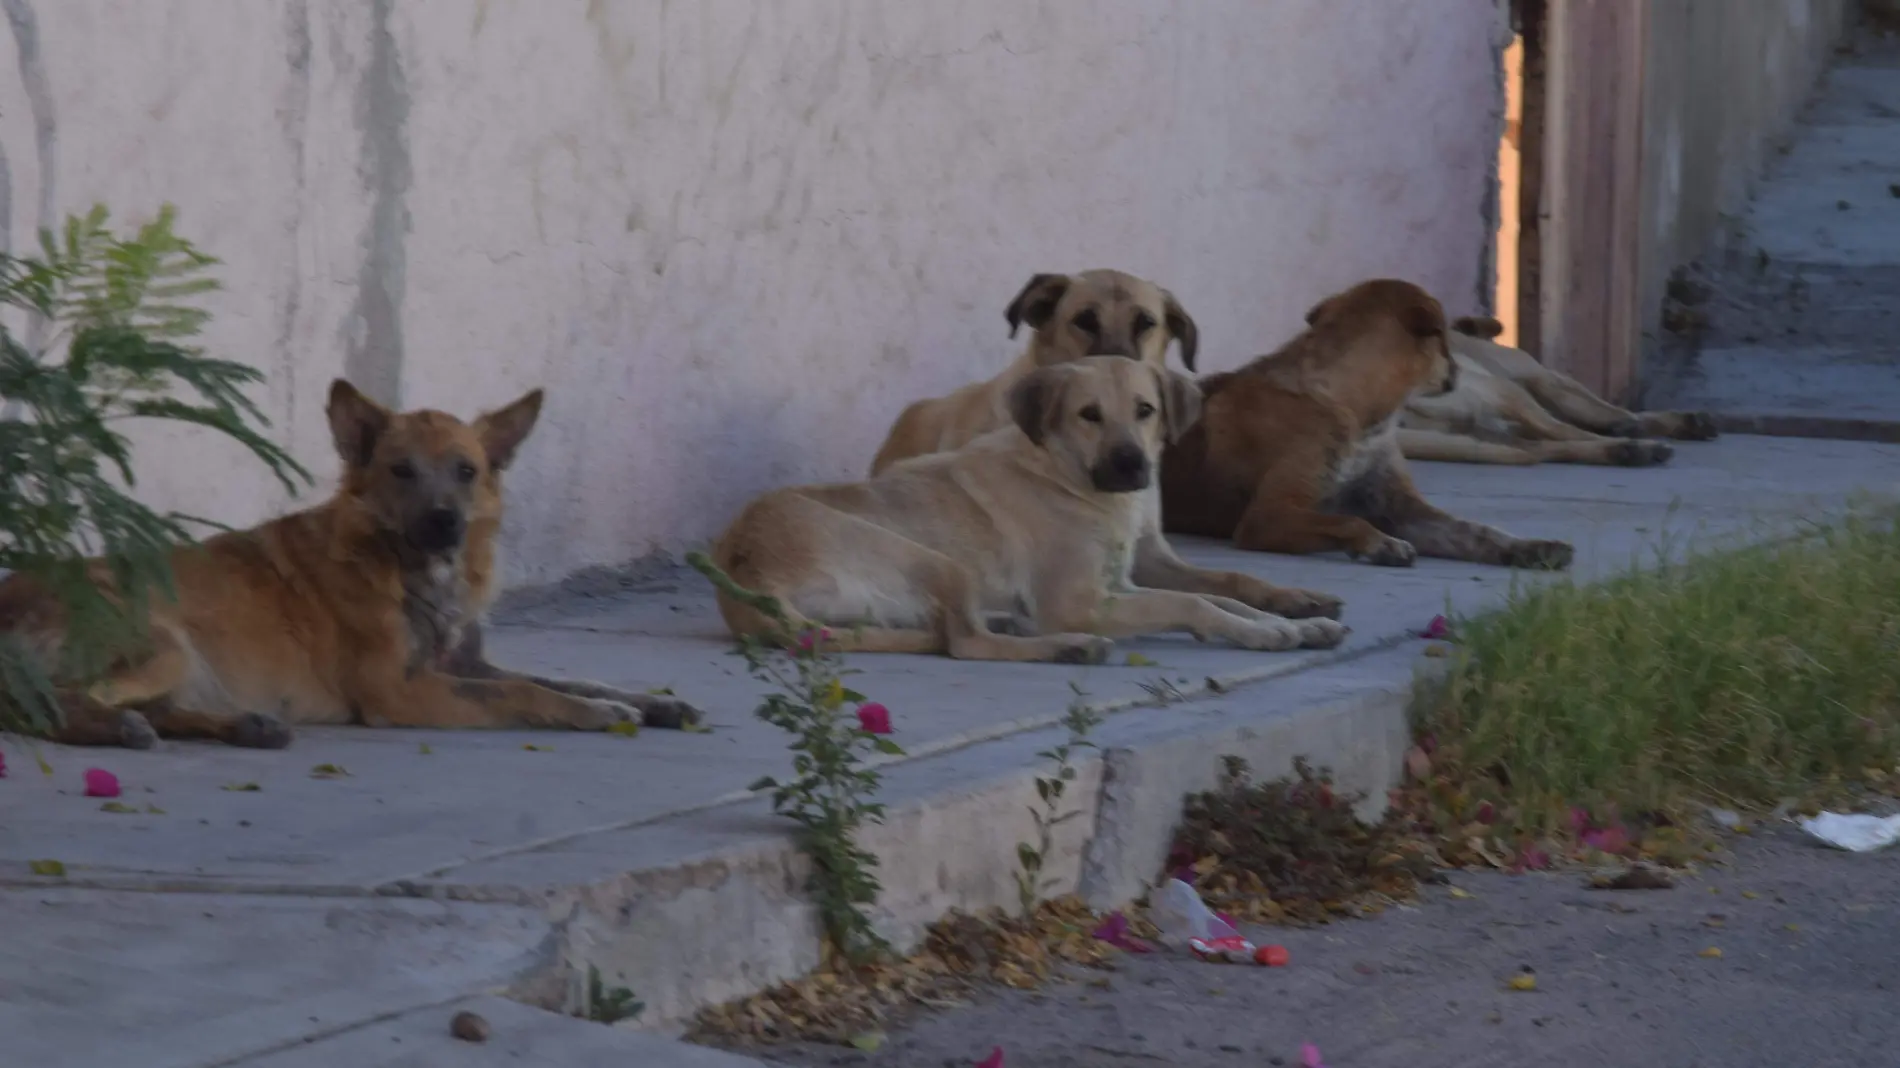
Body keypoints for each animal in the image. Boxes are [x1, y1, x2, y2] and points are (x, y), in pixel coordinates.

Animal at [1, 380, 699, 748]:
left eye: (467, 471)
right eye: (401, 471)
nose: (445, 522)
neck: (416, 573)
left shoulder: (465, 663)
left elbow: (567, 678)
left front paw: (642, 701)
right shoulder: (403, 690)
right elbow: (524, 690)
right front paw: (602, 715)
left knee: (155, 708)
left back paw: (244, 724)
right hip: (160, 641)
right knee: (47, 705)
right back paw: (121, 725)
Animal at [714, 357, 1352, 657]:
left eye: (1145, 410)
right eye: (1089, 414)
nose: (1130, 465)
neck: (1065, 475)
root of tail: (742, 577)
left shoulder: (1128, 578)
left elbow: (1222, 592)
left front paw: (1294, 620)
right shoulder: (1080, 601)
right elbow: (1193, 602)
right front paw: (1263, 634)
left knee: (959, 628)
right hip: (938, 561)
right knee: (963, 643)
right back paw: (1068, 647)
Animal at [870, 266, 1345, 619]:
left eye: (1146, 323)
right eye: (1084, 320)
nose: (1120, 369)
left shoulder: (1148, 554)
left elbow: (1231, 578)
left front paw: (1286, 596)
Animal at [1155, 279, 1573, 570]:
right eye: (1444, 339)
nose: (1457, 370)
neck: (1356, 411)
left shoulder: (1403, 509)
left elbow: (1475, 531)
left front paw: (1529, 547)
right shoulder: (1267, 516)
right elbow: (1349, 520)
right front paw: (1381, 543)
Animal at [1398, 315, 1725, 465]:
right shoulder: (1540, 383)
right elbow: (1599, 415)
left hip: (1483, 424)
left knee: (1539, 446)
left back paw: (1628, 447)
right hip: (1504, 395)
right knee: (1564, 433)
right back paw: (1636, 446)